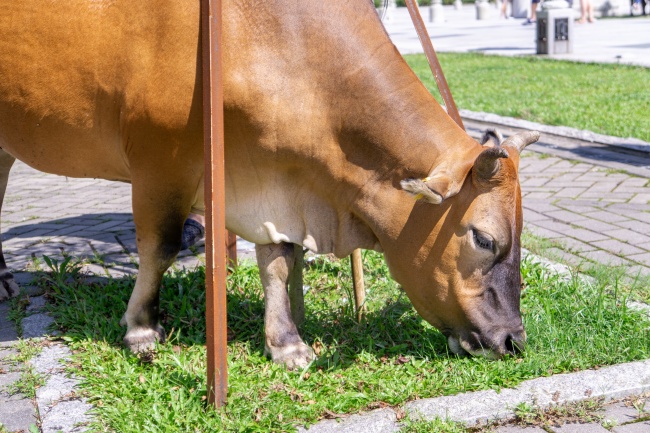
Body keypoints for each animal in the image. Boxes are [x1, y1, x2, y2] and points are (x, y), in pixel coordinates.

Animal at [0, 0, 536, 366]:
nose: (513, 340)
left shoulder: (272, 182)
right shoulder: (159, 162)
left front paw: (286, 343)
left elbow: (278, 262)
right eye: (484, 238)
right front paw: (141, 329)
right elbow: (160, 249)